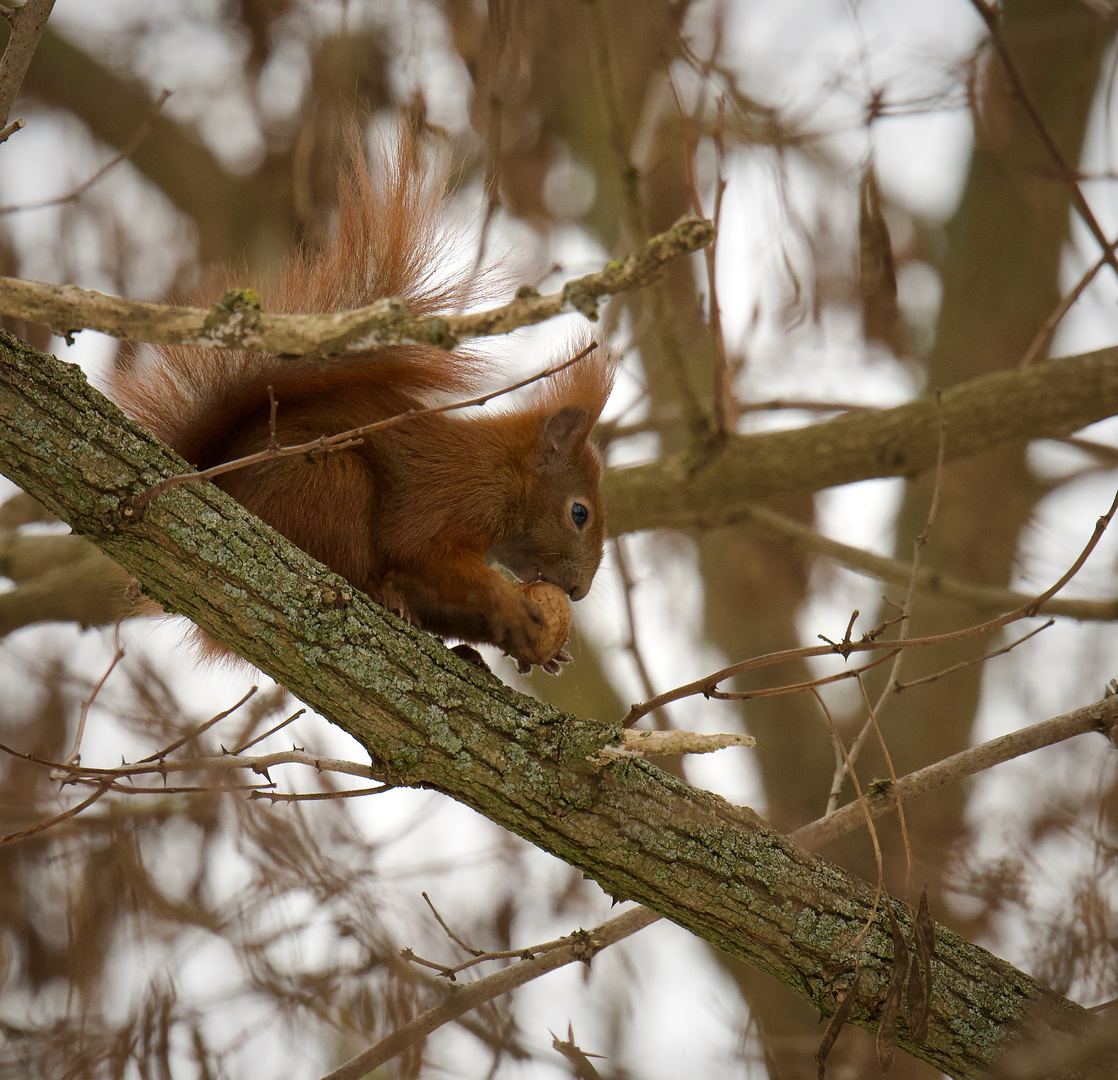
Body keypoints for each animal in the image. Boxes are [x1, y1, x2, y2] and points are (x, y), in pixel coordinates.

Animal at [110, 131, 617, 670]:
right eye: (579, 513)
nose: (579, 591)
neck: (506, 470)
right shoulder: (456, 495)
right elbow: (422, 551)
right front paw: (512, 607)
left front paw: (532, 648)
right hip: (331, 484)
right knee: (349, 565)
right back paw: (380, 592)